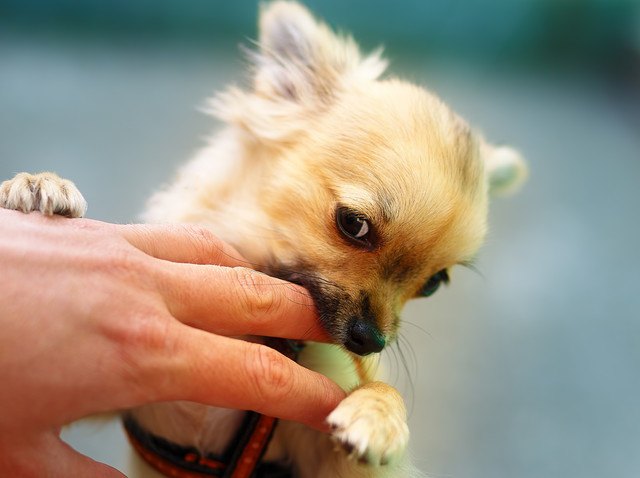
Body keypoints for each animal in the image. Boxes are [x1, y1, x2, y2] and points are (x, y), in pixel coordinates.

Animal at [1, 1, 524, 476]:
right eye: (353, 224)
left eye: (434, 283)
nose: (371, 341)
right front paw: (36, 185)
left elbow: (378, 397)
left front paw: (378, 416)